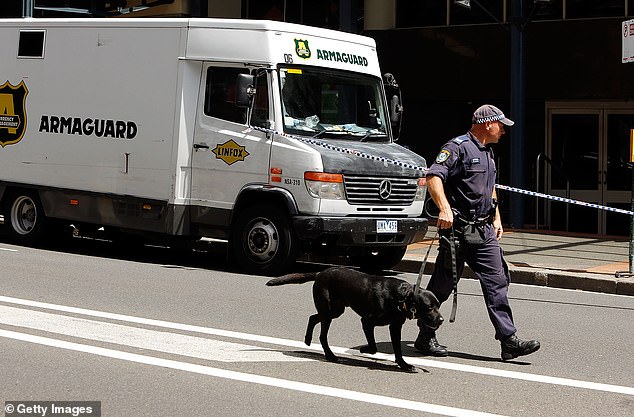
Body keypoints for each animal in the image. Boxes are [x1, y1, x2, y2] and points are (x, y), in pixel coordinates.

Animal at [264, 266, 442, 370]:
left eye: (439, 305)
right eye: (429, 307)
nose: (441, 320)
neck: (401, 297)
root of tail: (320, 273)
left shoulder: (395, 326)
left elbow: (397, 349)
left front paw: (404, 365)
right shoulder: (367, 322)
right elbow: (373, 346)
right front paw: (364, 349)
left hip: (335, 310)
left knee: (313, 317)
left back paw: (308, 339)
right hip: (329, 311)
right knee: (322, 334)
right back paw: (330, 355)